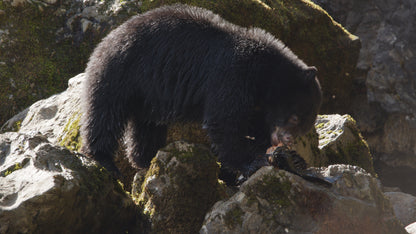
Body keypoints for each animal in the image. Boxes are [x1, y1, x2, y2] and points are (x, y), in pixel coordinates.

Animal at [81, 4, 322, 183]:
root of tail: (106, 40)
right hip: (120, 74)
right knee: (105, 114)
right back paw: (105, 161)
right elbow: (223, 122)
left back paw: (146, 159)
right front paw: (251, 162)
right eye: (295, 117)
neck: (264, 74)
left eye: (304, 127)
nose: (287, 139)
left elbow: (250, 123)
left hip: (147, 96)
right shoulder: (231, 76)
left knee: (145, 128)